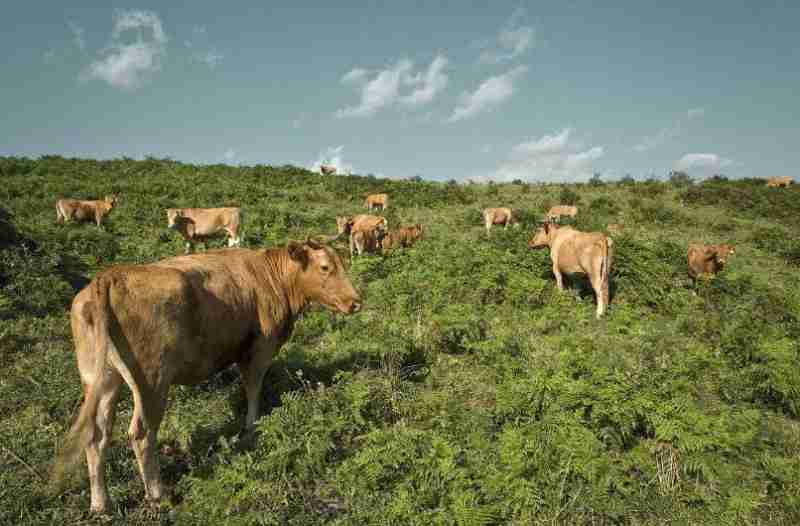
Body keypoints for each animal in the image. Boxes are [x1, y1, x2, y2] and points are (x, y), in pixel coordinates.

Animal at [52, 239, 360, 516]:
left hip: (102, 378)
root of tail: (109, 277)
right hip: (152, 380)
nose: (356, 302)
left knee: (97, 436)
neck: (271, 277)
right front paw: (252, 427)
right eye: (325, 267)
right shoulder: (261, 346)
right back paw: (157, 494)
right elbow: (253, 387)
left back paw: (100, 504)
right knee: (141, 433)